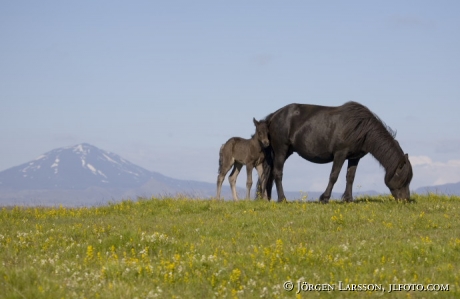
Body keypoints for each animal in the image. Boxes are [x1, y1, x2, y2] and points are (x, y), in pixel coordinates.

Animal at [262, 102, 414, 203]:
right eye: (404, 178)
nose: (405, 199)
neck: (361, 128)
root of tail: (274, 115)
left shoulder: (354, 158)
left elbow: (350, 177)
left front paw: (348, 199)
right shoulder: (340, 154)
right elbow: (334, 176)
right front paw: (324, 198)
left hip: (285, 152)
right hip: (281, 150)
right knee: (278, 173)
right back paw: (282, 199)